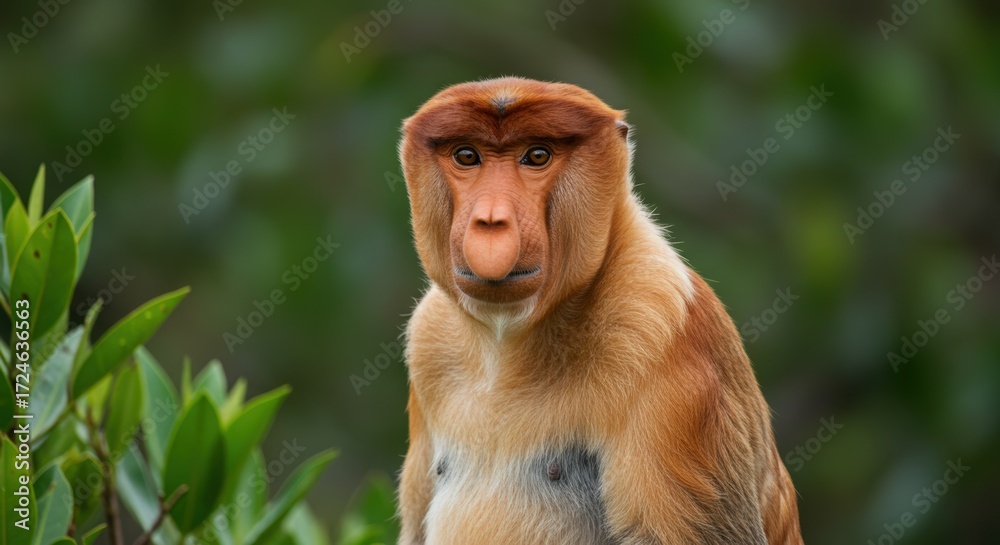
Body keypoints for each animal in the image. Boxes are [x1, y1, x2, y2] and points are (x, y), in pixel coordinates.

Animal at [396, 77, 802, 544]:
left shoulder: (663, 337)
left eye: (537, 156)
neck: (507, 340)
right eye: (466, 156)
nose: (491, 221)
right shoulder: (429, 339)